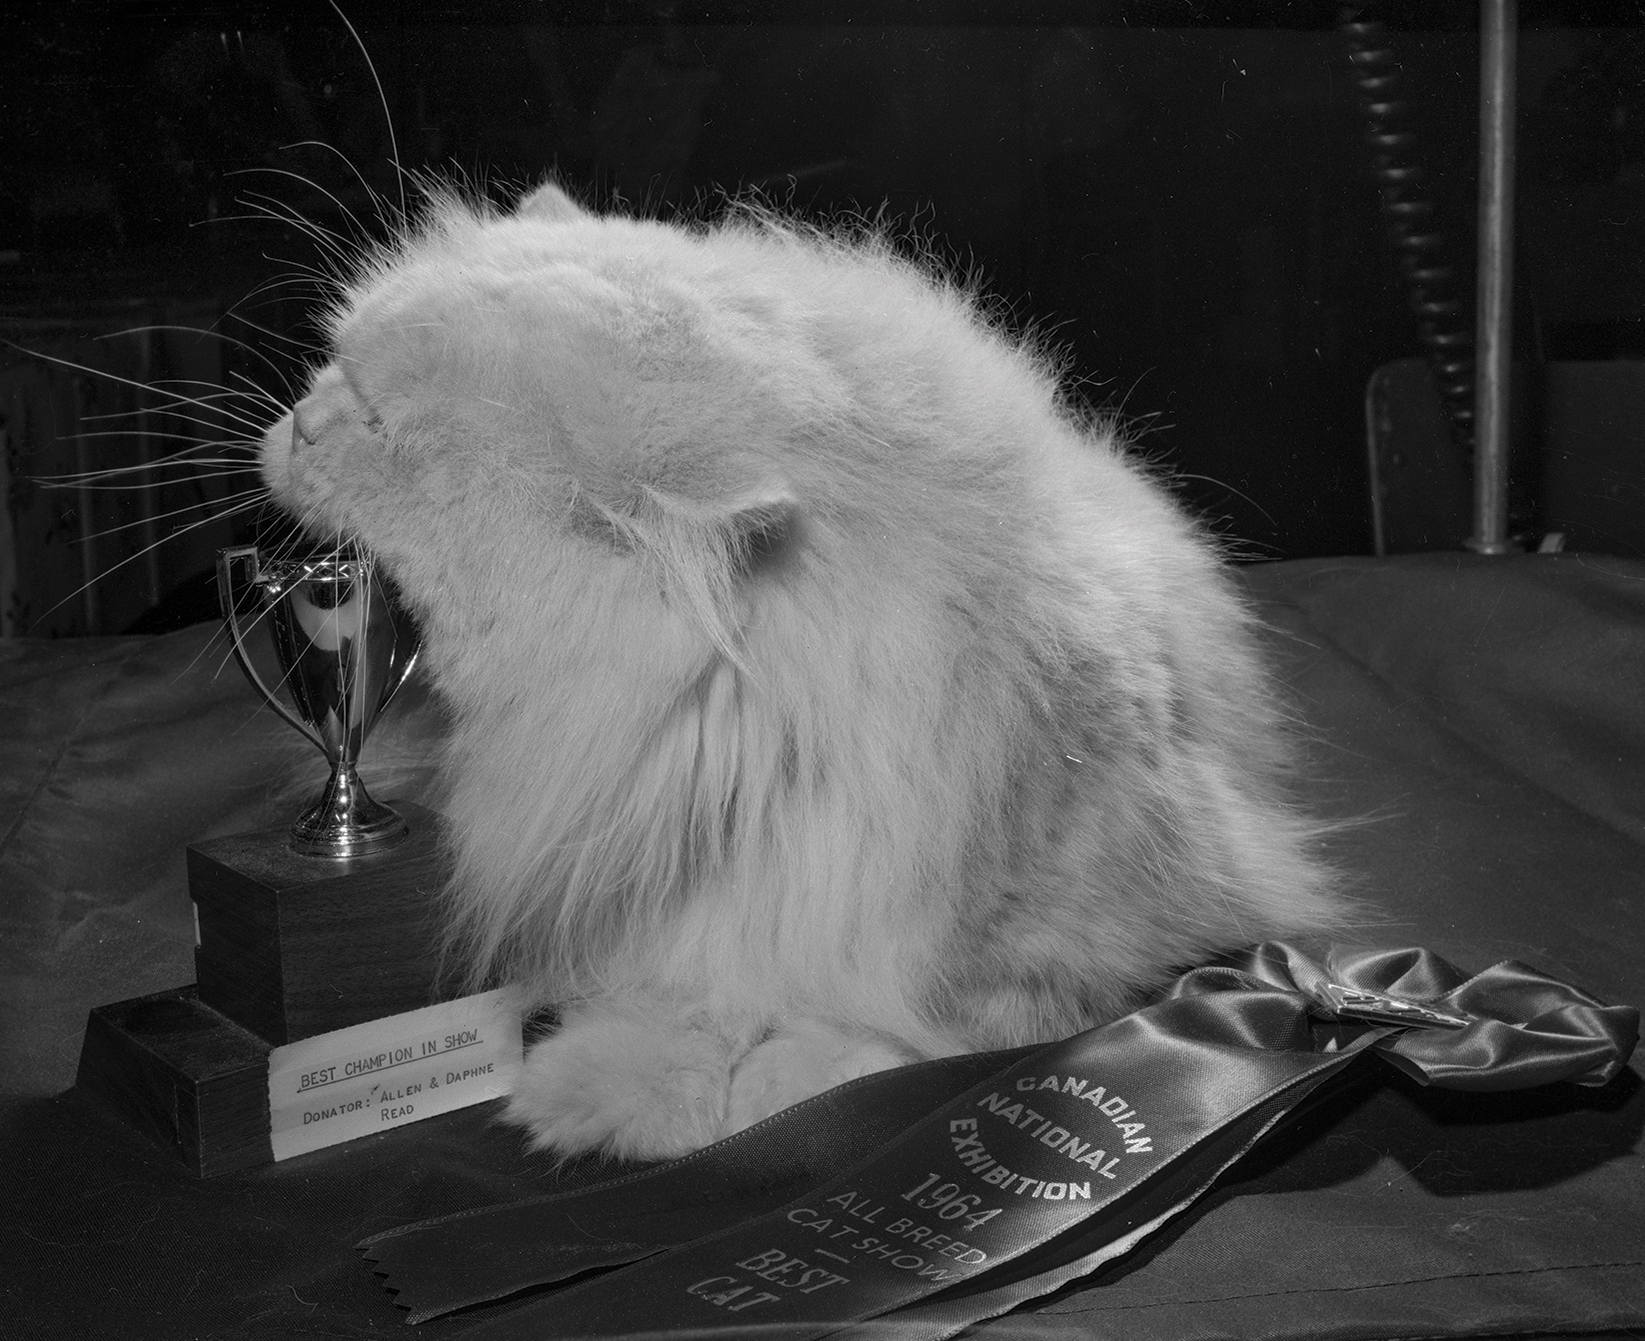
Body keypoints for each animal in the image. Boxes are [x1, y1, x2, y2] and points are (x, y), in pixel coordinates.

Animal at [253, 180, 1335, 1164]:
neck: (750, 745)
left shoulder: (1051, 942)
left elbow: (912, 1033)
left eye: (381, 423)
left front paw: (788, 1090)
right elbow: (685, 1004)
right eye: (337, 362)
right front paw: (621, 1098)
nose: (302, 418)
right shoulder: (663, 895)